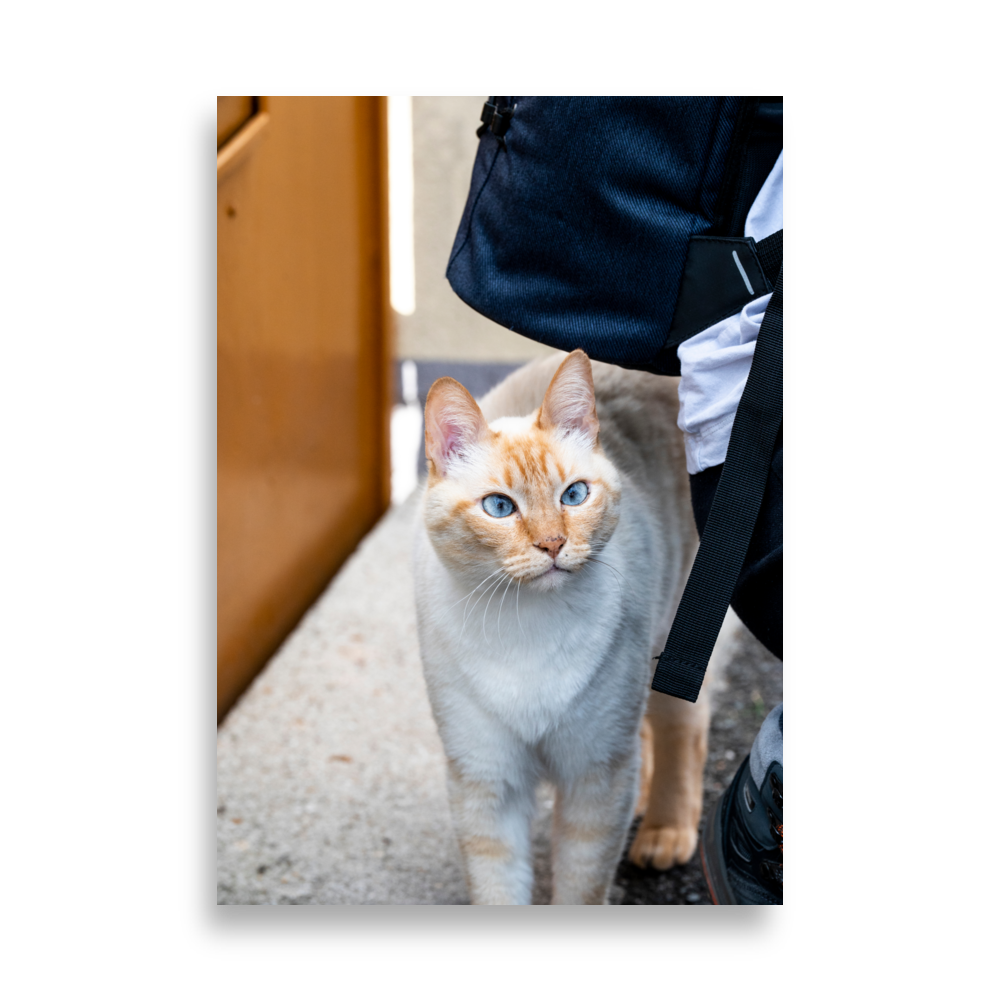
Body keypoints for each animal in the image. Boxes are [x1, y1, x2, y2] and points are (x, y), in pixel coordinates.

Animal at [412, 352, 712, 908]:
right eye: (500, 507)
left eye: (573, 496)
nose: (553, 544)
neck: (526, 628)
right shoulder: (488, 781)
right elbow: (498, 887)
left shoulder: (595, 776)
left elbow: (582, 884)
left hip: (672, 638)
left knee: (684, 727)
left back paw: (665, 830)